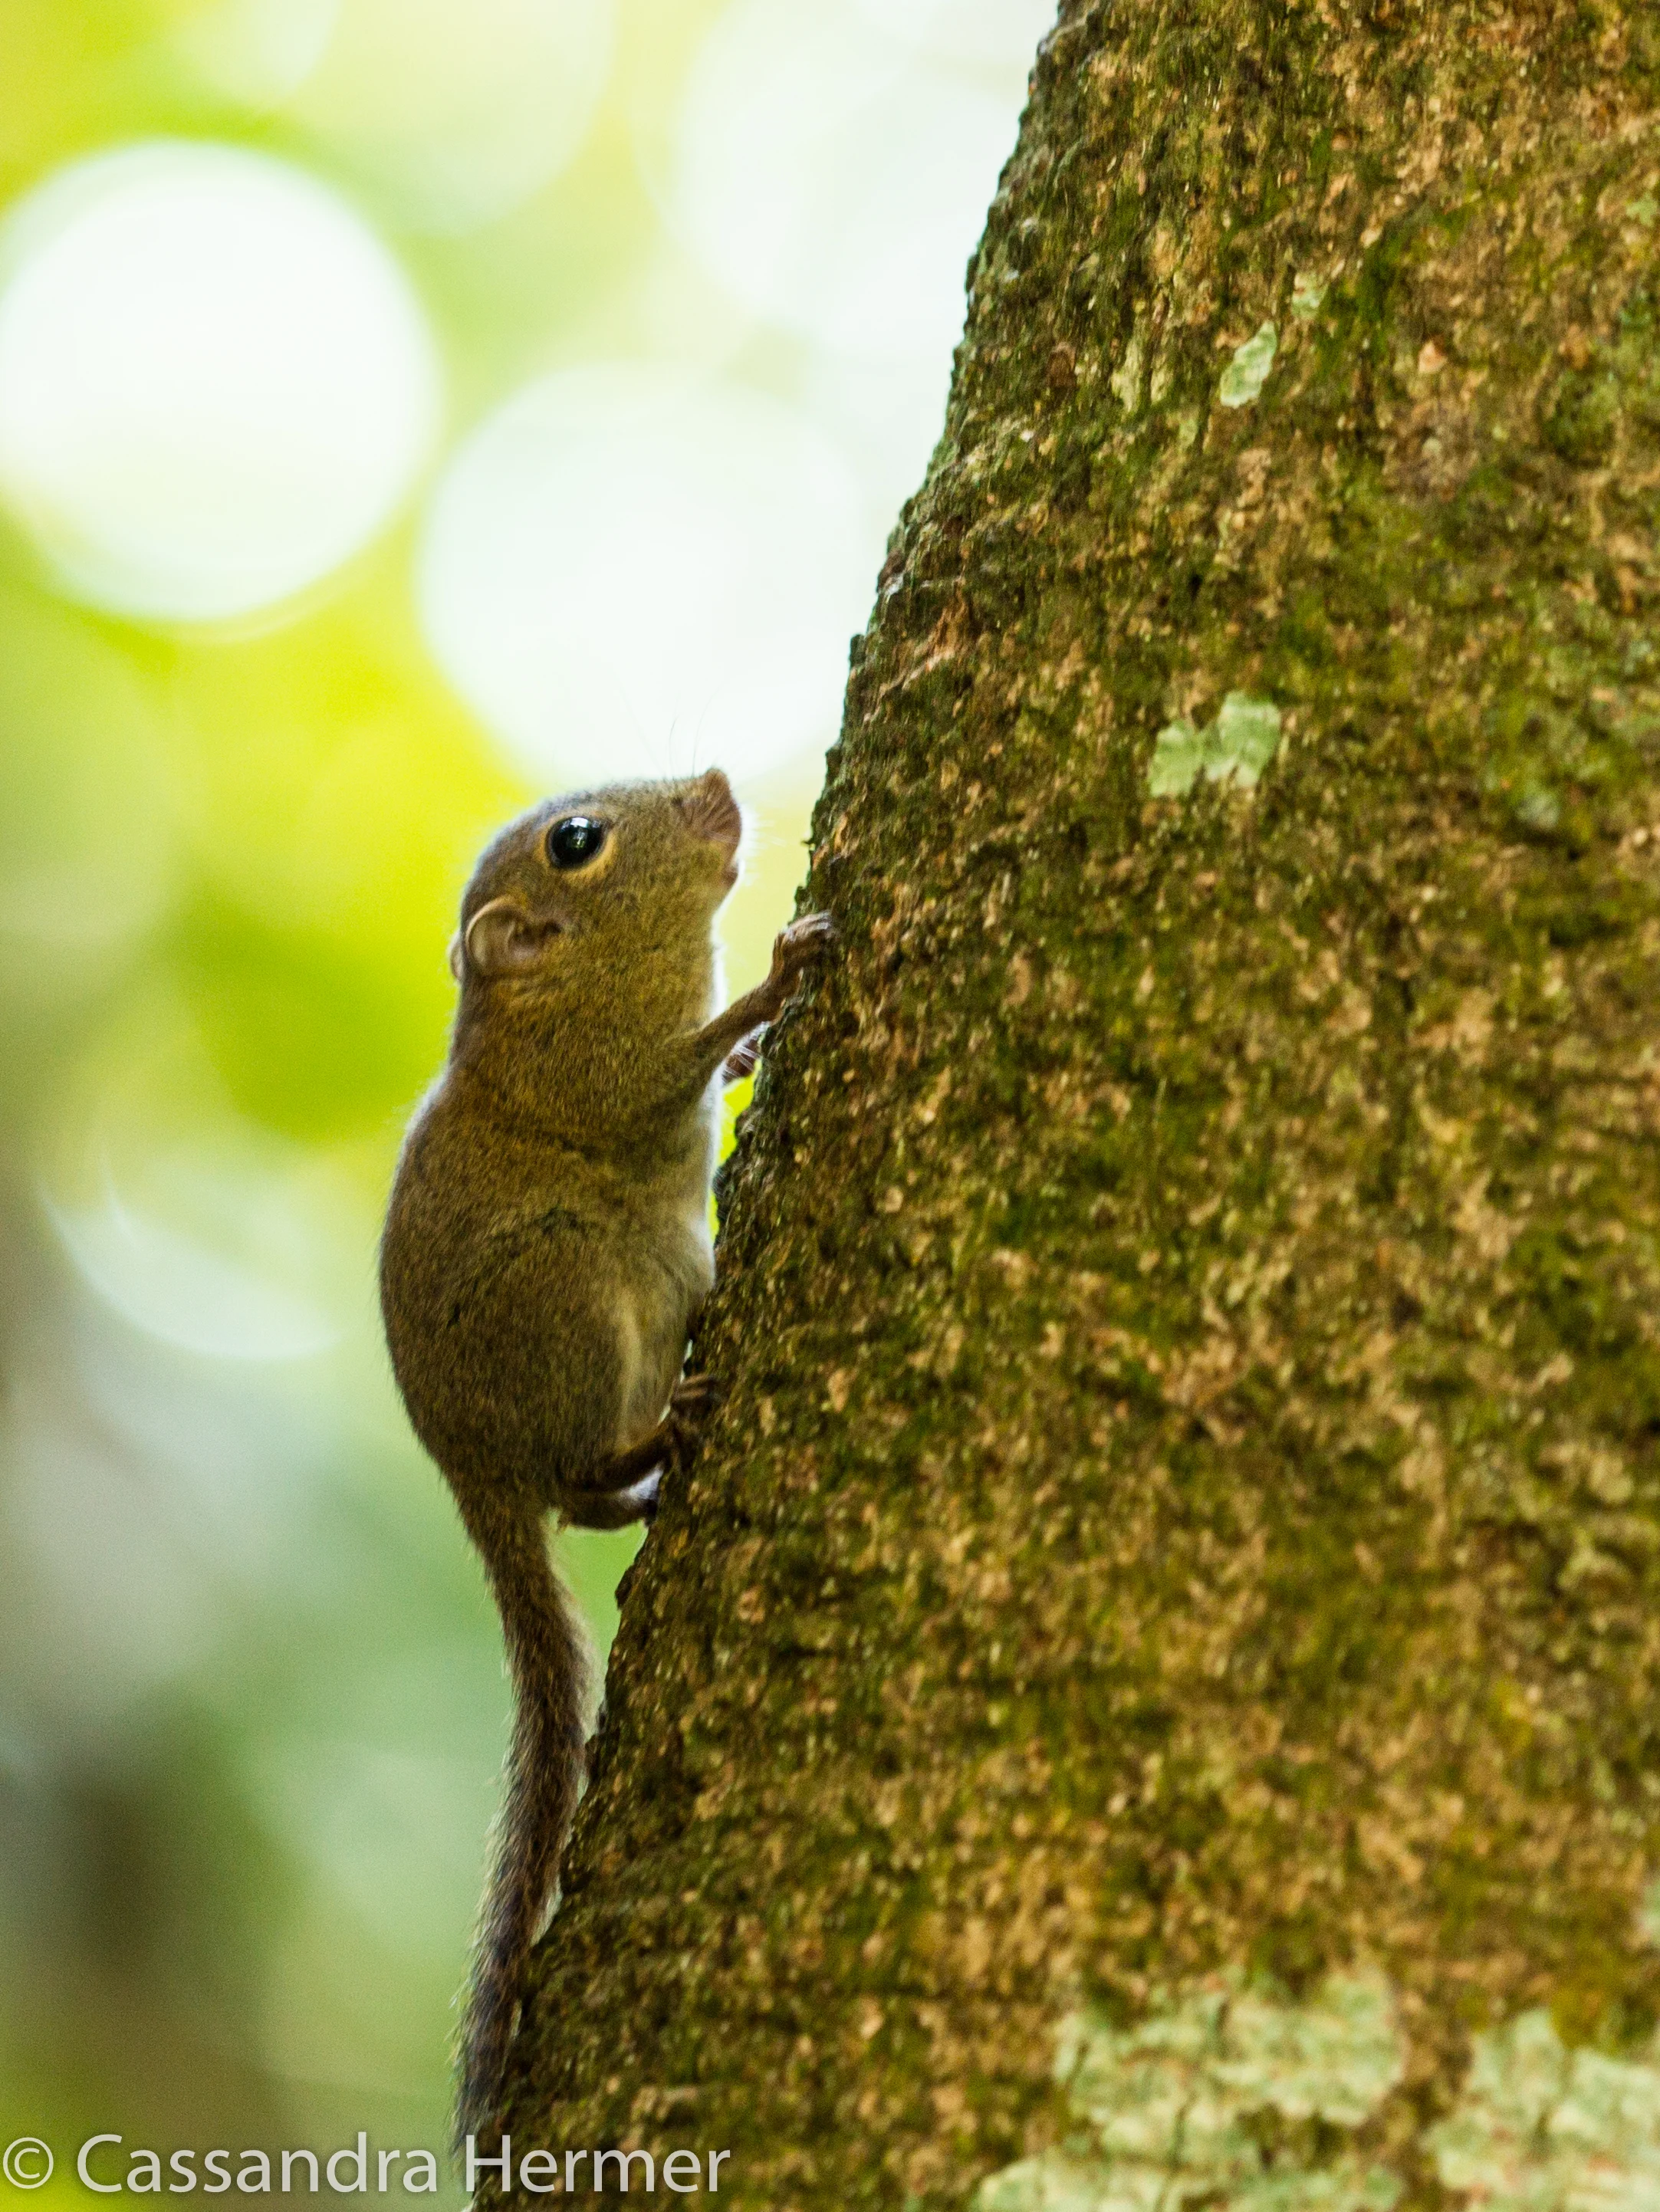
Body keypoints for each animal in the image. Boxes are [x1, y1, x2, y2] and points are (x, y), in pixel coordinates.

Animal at [378, 768, 832, 2143]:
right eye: (577, 844)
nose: (719, 789)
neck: (570, 987)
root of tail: (470, 1470)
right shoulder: (602, 1078)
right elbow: (669, 1074)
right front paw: (771, 988)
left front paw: (746, 1039)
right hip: (577, 1290)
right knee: (575, 1479)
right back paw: (657, 1435)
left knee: (580, 1507)